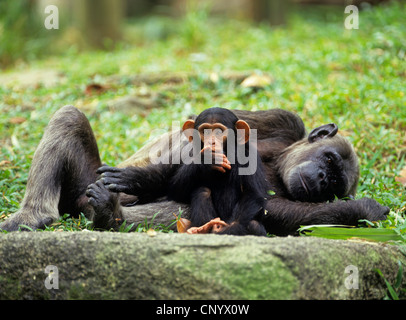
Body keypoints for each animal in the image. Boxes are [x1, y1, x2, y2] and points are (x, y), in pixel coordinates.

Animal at [0, 105, 388, 235]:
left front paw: (366, 209)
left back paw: (109, 216)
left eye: (335, 186)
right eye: (330, 160)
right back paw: (33, 215)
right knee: (69, 116)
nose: (323, 179)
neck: (279, 161)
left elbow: (276, 210)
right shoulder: (282, 121)